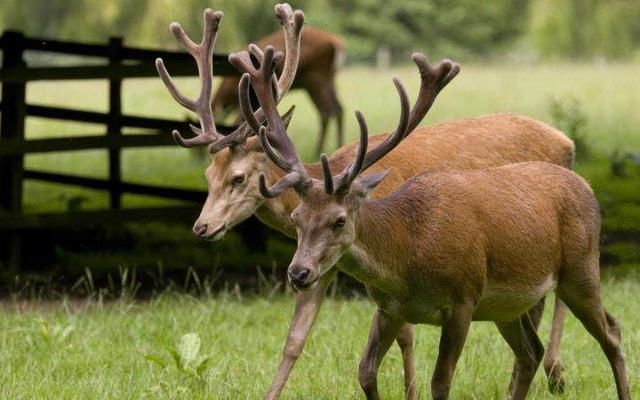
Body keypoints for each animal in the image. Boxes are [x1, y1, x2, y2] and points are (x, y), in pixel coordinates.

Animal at [212, 26, 344, 155]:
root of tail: (337, 43)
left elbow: (240, 119)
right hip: (329, 78)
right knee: (338, 108)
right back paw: (337, 146)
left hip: (316, 78)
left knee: (326, 110)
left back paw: (318, 151)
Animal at [234, 41, 632, 400]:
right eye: (297, 218)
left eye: (339, 220)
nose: (298, 273)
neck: (407, 257)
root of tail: (587, 186)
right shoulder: (390, 308)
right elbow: (365, 372)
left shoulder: (463, 300)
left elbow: (440, 383)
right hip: (508, 306)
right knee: (530, 352)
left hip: (581, 269)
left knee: (612, 332)